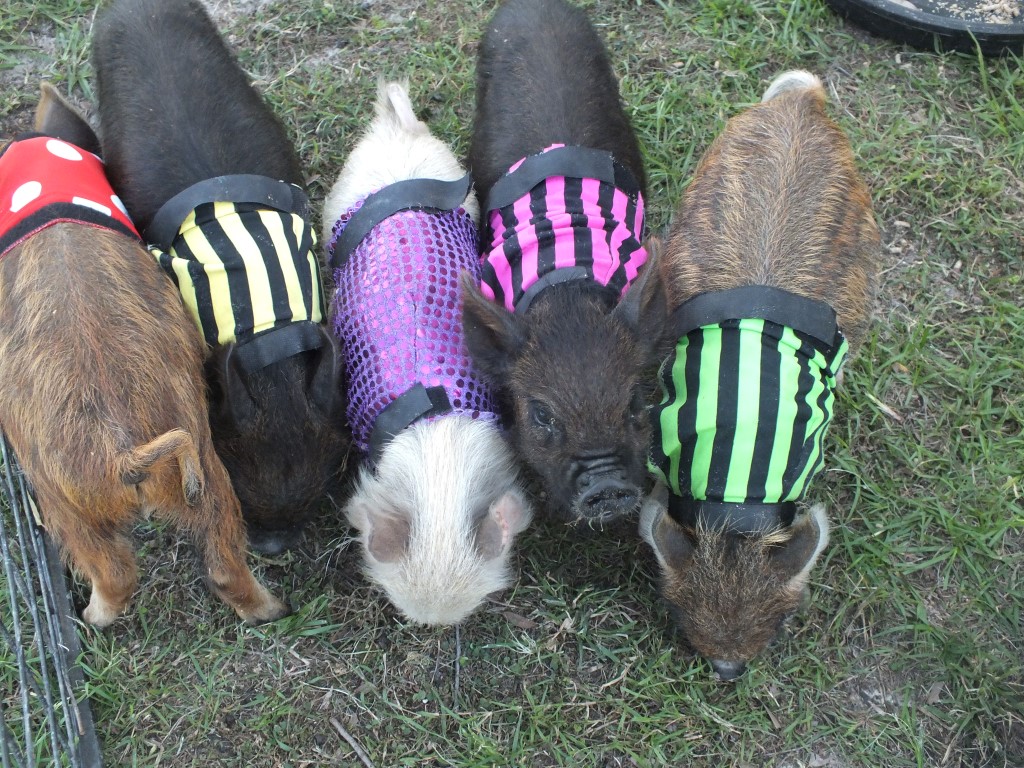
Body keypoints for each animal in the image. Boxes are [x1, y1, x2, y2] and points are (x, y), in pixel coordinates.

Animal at [0, 83, 289, 627]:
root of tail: (120, 454)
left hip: (61, 498)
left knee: (119, 572)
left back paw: (91, 619)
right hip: (200, 472)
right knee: (212, 563)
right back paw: (273, 610)